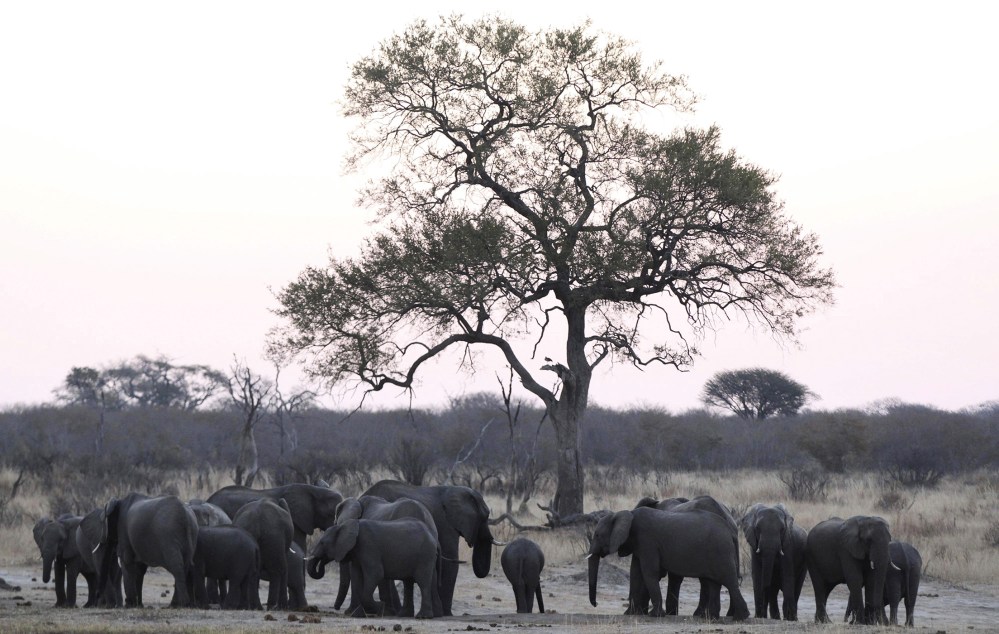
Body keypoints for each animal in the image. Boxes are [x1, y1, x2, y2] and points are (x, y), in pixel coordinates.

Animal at [308, 518, 439, 619]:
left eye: (322, 543)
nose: (321, 562)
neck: (346, 525)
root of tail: (432, 535)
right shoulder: (358, 553)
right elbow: (358, 576)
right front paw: (358, 615)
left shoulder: (368, 547)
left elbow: (376, 574)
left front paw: (381, 607)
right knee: (408, 583)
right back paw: (403, 615)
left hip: (425, 555)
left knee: (423, 582)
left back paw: (423, 616)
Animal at [588, 506, 749, 621]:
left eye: (597, 535)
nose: (596, 604)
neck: (627, 513)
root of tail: (731, 531)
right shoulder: (639, 545)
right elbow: (636, 573)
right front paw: (631, 613)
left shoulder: (647, 541)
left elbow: (649, 572)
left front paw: (655, 615)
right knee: (713, 582)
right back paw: (710, 618)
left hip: (720, 551)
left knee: (729, 581)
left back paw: (740, 617)